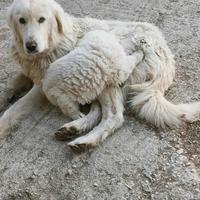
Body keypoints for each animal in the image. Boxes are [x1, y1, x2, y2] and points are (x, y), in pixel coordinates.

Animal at [0, 0, 198, 151]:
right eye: (22, 20)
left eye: (42, 19)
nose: (31, 46)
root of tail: (165, 52)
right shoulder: (29, 72)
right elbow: (9, 86)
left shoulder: (41, 85)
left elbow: (14, 109)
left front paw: (2, 125)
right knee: (97, 110)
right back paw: (74, 129)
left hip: (107, 76)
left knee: (113, 116)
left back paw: (85, 139)